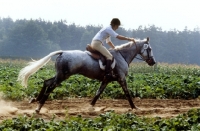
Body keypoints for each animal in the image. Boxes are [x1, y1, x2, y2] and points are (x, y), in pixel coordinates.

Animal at [17, 36, 156, 112]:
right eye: (149, 49)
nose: (153, 62)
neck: (122, 56)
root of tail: (62, 52)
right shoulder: (121, 78)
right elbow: (127, 93)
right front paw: (134, 107)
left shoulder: (106, 80)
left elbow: (97, 94)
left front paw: (90, 107)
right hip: (63, 76)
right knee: (50, 86)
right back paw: (38, 107)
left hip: (60, 75)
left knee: (46, 82)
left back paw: (35, 100)